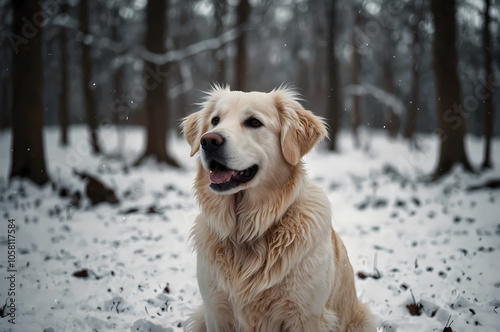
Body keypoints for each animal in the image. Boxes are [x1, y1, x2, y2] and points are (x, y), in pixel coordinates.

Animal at [182, 87, 376, 330]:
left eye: (254, 122)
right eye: (215, 120)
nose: (208, 140)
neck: (246, 231)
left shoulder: (307, 316)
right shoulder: (215, 311)